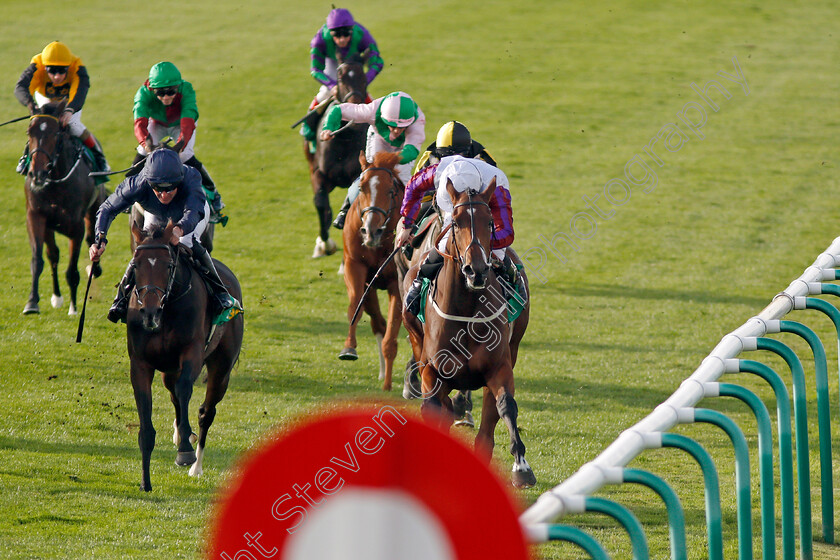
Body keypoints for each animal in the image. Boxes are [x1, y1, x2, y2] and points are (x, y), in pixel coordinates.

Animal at [21, 100, 105, 316]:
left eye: (54, 133)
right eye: (29, 132)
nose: (37, 174)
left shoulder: (76, 226)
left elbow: (72, 269)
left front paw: (74, 308)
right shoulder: (36, 216)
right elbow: (38, 260)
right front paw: (32, 303)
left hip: (94, 206)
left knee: (91, 237)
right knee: (53, 255)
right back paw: (57, 297)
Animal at [126, 221, 243, 492]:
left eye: (169, 265)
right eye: (136, 265)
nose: (149, 312)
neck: (166, 311)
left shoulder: (192, 353)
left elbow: (185, 389)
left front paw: (185, 452)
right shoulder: (140, 364)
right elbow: (146, 425)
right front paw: (145, 482)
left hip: (222, 367)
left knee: (205, 412)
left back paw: (196, 465)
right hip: (168, 369)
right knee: (174, 396)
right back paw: (181, 433)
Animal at [304, 55, 366, 258]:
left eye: (363, 76)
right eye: (340, 77)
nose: (356, 107)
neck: (345, 136)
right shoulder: (318, 173)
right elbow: (320, 203)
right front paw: (325, 245)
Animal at [342, 151, 406, 392]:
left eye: (390, 191)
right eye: (361, 188)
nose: (371, 230)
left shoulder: (397, 283)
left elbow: (392, 335)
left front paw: (387, 385)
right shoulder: (354, 267)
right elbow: (355, 308)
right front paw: (349, 348)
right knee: (377, 322)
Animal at [402, 182, 536, 488]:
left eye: (489, 222)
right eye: (456, 222)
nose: (476, 271)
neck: (466, 310)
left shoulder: (499, 367)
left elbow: (506, 405)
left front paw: (521, 467)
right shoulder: (432, 370)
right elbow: (432, 408)